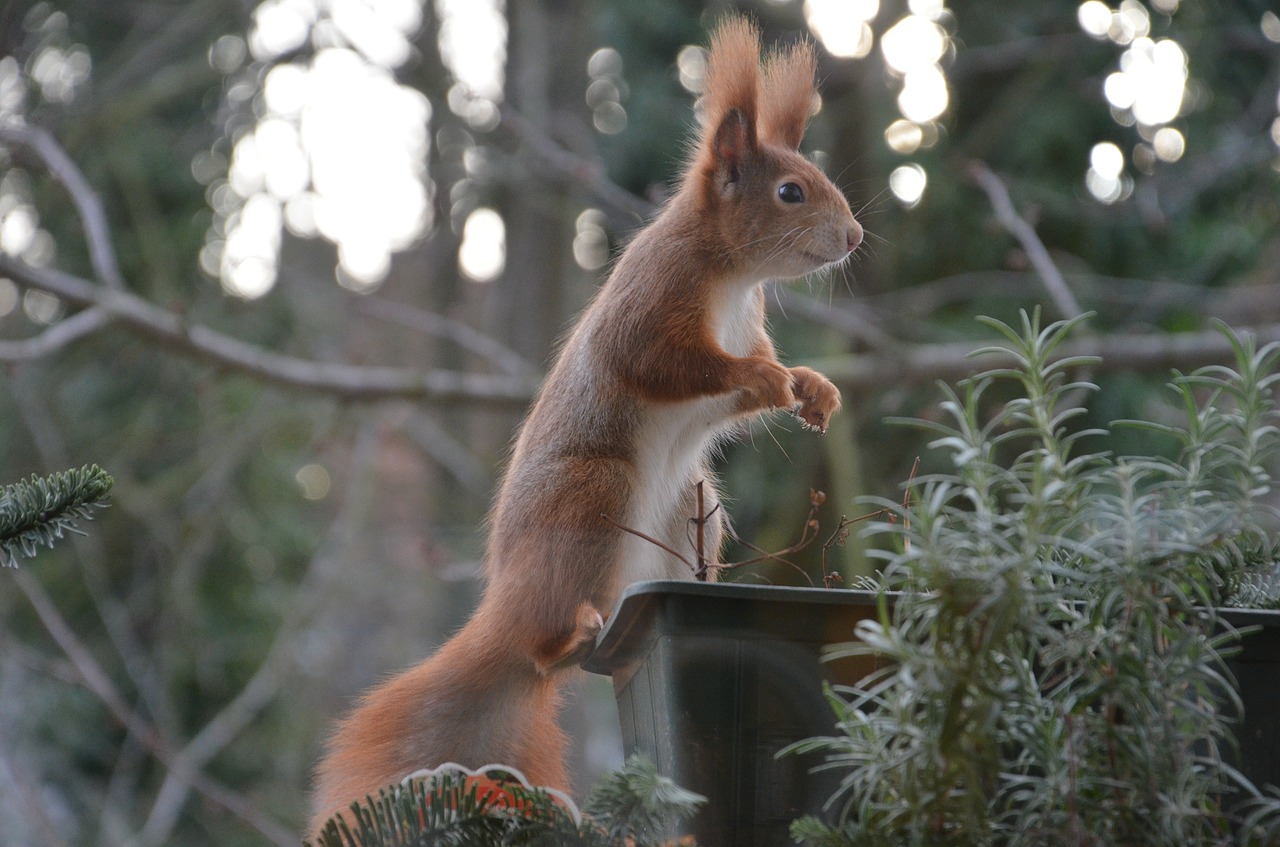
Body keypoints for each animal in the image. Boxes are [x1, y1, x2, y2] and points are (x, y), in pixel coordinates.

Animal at [311, 18, 865, 834]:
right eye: (791, 192)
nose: (854, 236)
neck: (735, 278)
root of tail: (504, 612)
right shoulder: (653, 305)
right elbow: (672, 366)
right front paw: (767, 380)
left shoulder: (748, 325)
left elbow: (745, 386)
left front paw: (811, 389)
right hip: (594, 493)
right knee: (546, 649)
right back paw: (565, 636)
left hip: (695, 506)